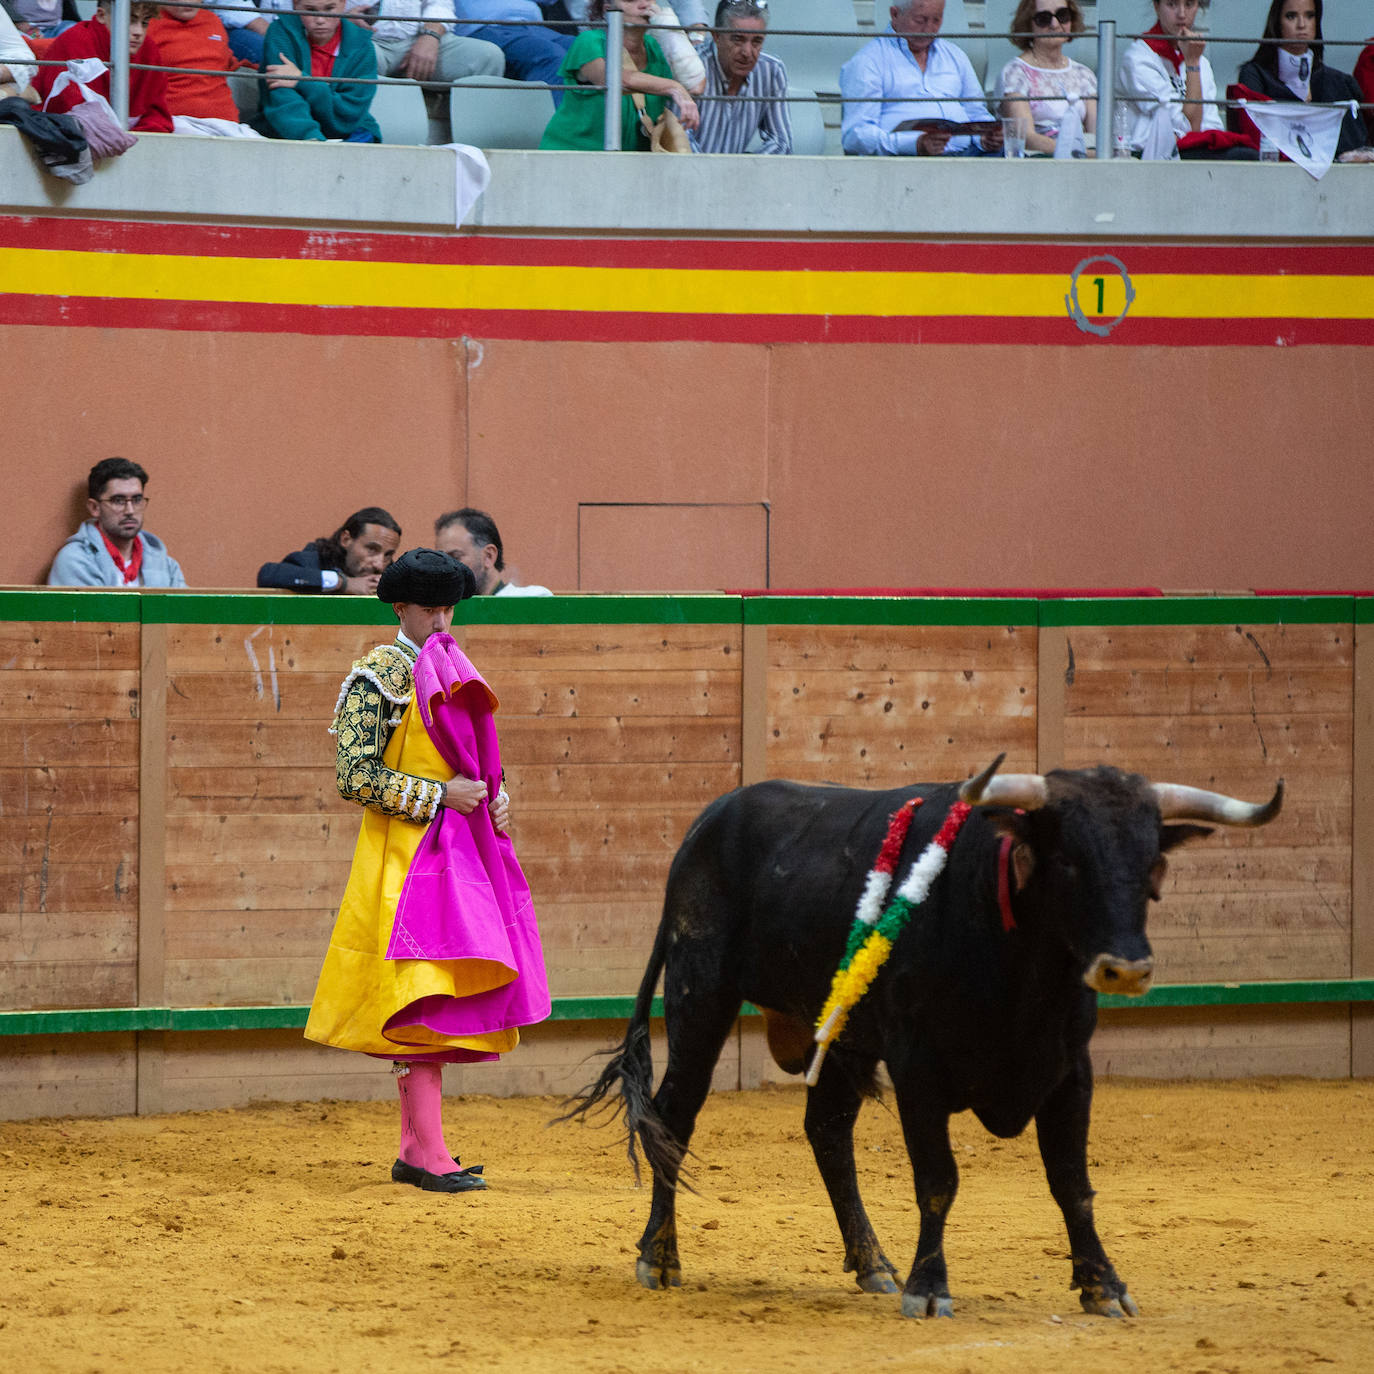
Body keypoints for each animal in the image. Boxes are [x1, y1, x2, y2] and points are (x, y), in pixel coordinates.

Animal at [563, 763, 1280, 1319]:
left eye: (1152, 860)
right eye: (1068, 860)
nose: (1124, 968)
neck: (1018, 962)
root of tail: (706, 822)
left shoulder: (1069, 1072)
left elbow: (1072, 1183)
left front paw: (1103, 1285)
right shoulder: (918, 1069)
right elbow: (938, 1178)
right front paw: (930, 1289)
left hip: (843, 1036)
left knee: (827, 1132)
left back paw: (872, 1263)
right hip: (700, 999)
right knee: (673, 1118)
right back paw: (660, 1258)